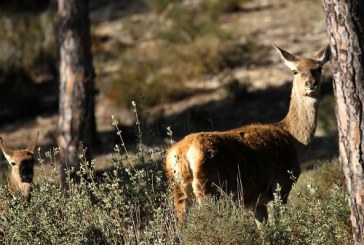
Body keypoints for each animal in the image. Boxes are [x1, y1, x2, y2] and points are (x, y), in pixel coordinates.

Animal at [166, 45, 332, 225]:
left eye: (319, 68)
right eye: (295, 71)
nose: (311, 84)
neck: (293, 138)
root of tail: (182, 153)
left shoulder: (256, 201)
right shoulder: (282, 184)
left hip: (180, 191)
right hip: (209, 189)